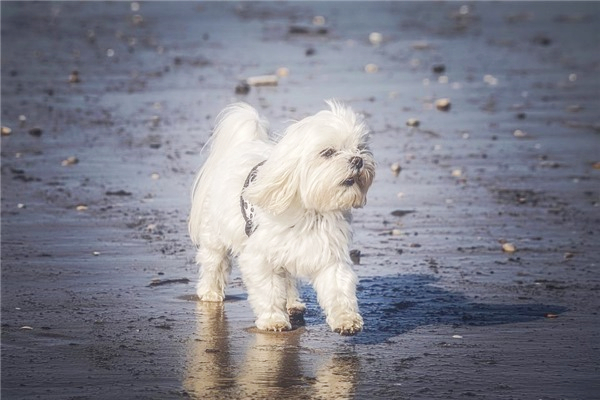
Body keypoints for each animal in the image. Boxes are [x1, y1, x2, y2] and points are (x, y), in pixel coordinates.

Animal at [189, 100, 376, 334]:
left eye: (361, 148)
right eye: (328, 152)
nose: (358, 160)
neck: (311, 211)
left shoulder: (330, 254)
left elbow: (339, 289)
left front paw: (346, 319)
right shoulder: (260, 258)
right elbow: (268, 290)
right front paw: (273, 320)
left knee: (288, 278)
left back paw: (293, 303)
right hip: (215, 234)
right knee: (214, 262)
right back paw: (210, 292)